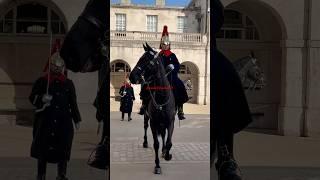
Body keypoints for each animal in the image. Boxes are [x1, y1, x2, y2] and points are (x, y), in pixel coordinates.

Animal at [129, 42, 176, 174]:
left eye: (145, 59)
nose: (132, 76)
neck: (161, 98)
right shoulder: (154, 123)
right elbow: (156, 144)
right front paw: (157, 165)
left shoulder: (170, 122)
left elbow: (169, 142)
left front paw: (167, 154)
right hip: (146, 116)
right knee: (145, 126)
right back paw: (145, 142)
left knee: (164, 135)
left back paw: (164, 151)